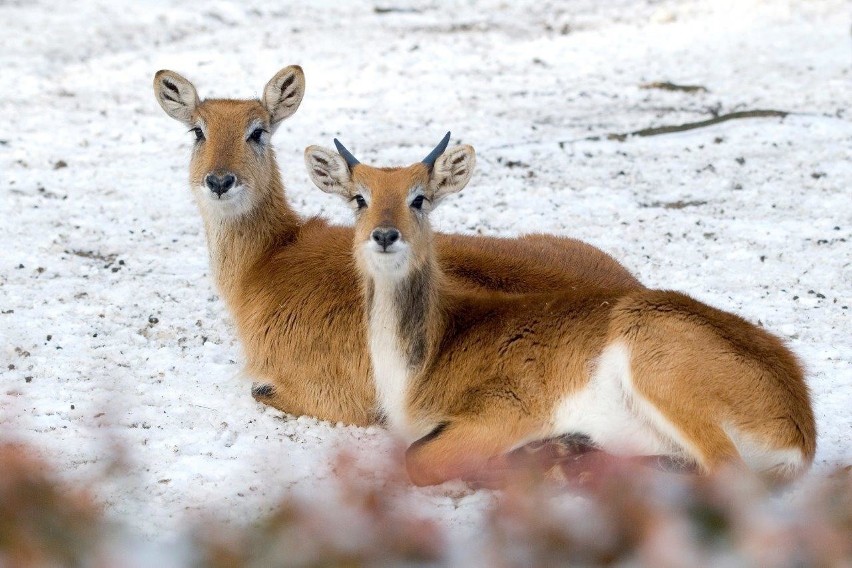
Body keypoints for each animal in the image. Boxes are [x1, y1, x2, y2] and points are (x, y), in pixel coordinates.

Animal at [153, 66, 644, 426]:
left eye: (258, 131)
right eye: (198, 131)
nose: (219, 180)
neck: (265, 263)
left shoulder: (330, 393)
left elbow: (260, 390)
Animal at [308, 136, 820, 484]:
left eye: (420, 198)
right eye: (359, 198)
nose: (385, 234)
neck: (424, 361)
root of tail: (801, 424)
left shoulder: (505, 410)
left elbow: (417, 459)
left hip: (658, 366)